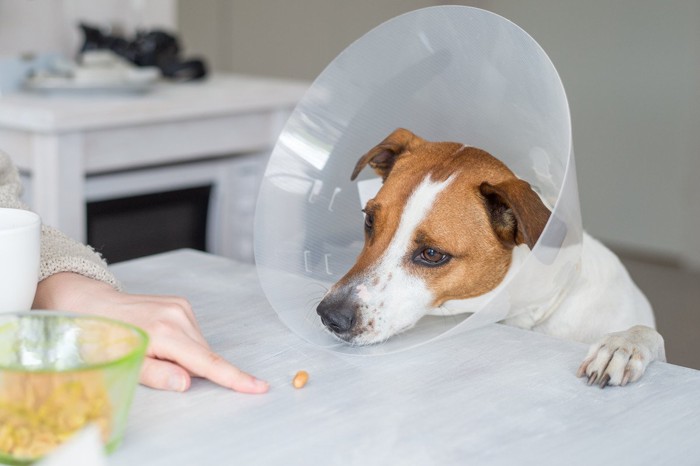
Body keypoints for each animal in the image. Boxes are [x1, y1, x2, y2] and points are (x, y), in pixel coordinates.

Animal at [318, 129, 668, 388]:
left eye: (431, 254)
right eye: (369, 221)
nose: (330, 316)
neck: (532, 310)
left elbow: (648, 334)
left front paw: (622, 345)